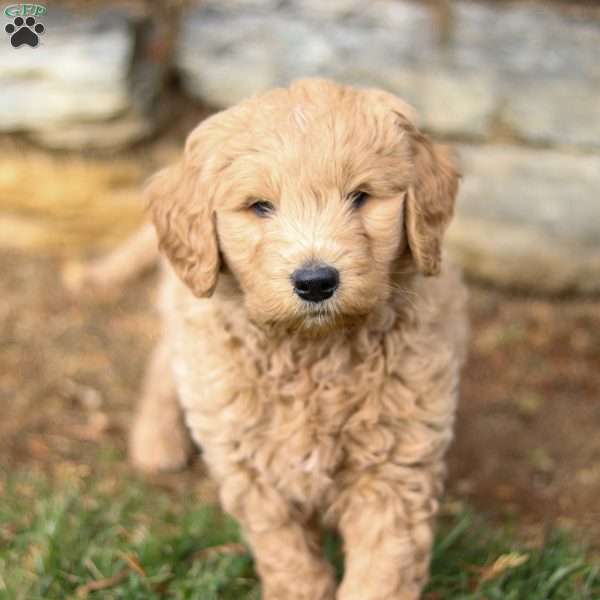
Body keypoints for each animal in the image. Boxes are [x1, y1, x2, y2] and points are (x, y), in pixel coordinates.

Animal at [136, 79, 468, 600]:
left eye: (360, 197)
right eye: (259, 206)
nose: (315, 282)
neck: (312, 353)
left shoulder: (393, 472)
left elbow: (381, 574)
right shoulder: (254, 475)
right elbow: (289, 559)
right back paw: (155, 440)